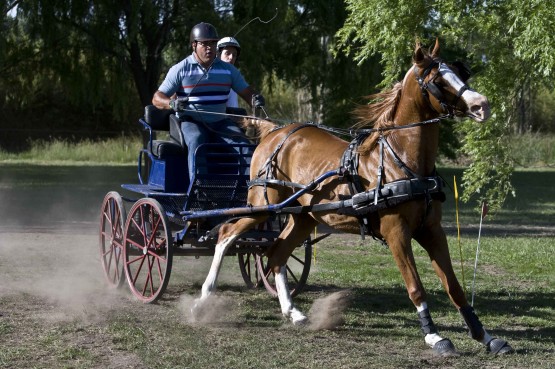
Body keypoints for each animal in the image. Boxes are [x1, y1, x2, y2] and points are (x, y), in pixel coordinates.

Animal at [193, 38, 516, 356]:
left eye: (461, 73)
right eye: (438, 80)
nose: (482, 105)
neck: (400, 161)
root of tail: (276, 131)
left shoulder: (432, 230)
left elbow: (454, 286)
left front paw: (485, 336)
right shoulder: (397, 232)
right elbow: (415, 286)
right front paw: (434, 336)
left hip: (303, 218)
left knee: (276, 254)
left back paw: (293, 312)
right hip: (262, 206)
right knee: (227, 233)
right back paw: (203, 299)